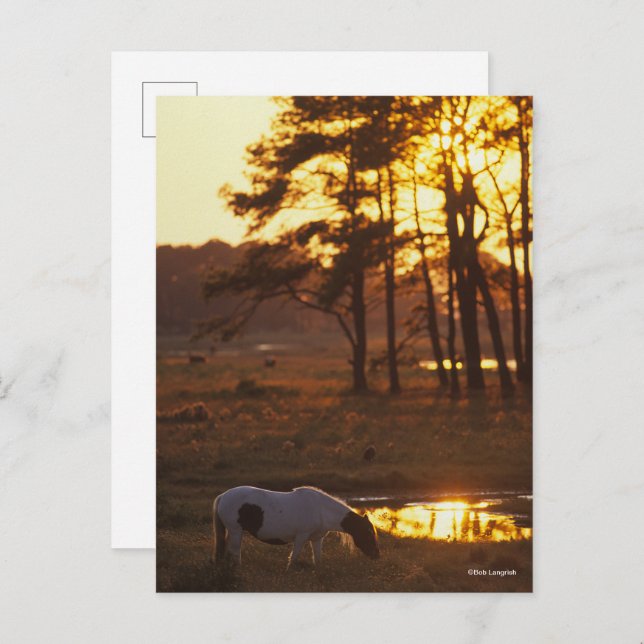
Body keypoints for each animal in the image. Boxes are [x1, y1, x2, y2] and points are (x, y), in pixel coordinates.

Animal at [212, 485, 379, 568]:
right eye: (368, 533)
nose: (377, 555)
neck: (320, 509)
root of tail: (223, 496)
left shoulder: (317, 539)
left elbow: (318, 560)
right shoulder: (301, 537)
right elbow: (294, 558)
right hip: (236, 531)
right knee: (235, 553)